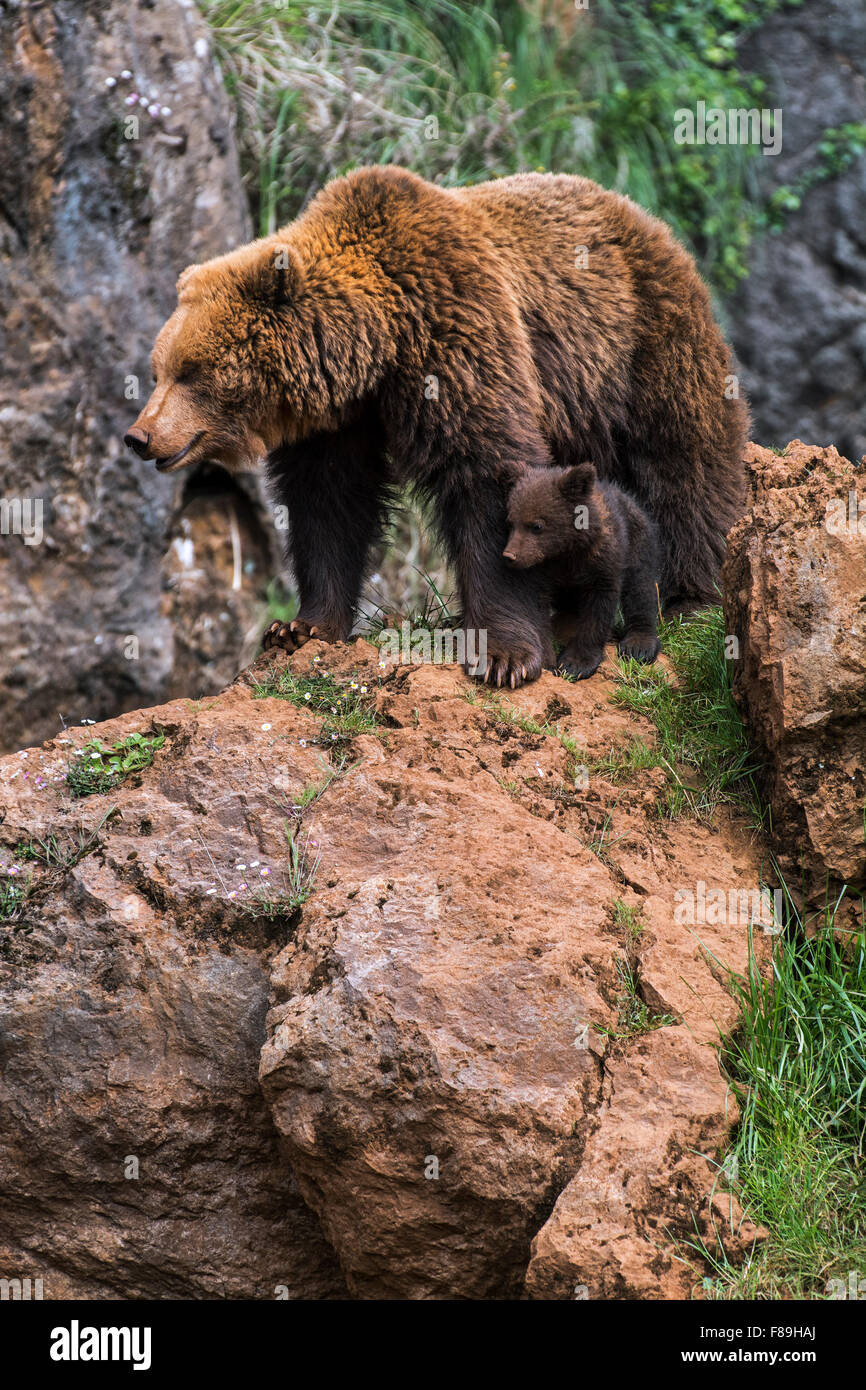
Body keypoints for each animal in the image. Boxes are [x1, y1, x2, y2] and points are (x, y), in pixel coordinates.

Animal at [504, 461, 661, 680]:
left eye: (537, 525)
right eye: (510, 522)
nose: (510, 556)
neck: (568, 551)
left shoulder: (603, 561)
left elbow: (598, 610)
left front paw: (576, 663)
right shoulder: (543, 572)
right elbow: (537, 608)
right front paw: (546, 659)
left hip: (638, 539)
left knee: (641, 586)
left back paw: (639, 644)